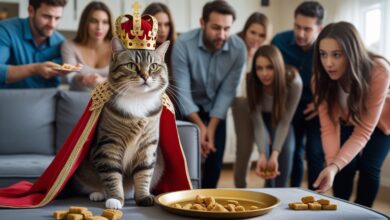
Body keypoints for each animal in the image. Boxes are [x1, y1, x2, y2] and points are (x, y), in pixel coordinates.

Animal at [72, 37, 170, 210]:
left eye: (153, 66)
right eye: (131, 65)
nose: (145, 76)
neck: (138, 100)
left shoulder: (148, 145)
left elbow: (144, 173)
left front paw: (143, 197)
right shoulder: (109, 145)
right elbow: (112, 175)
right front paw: (115, 199)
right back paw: (98, 194)